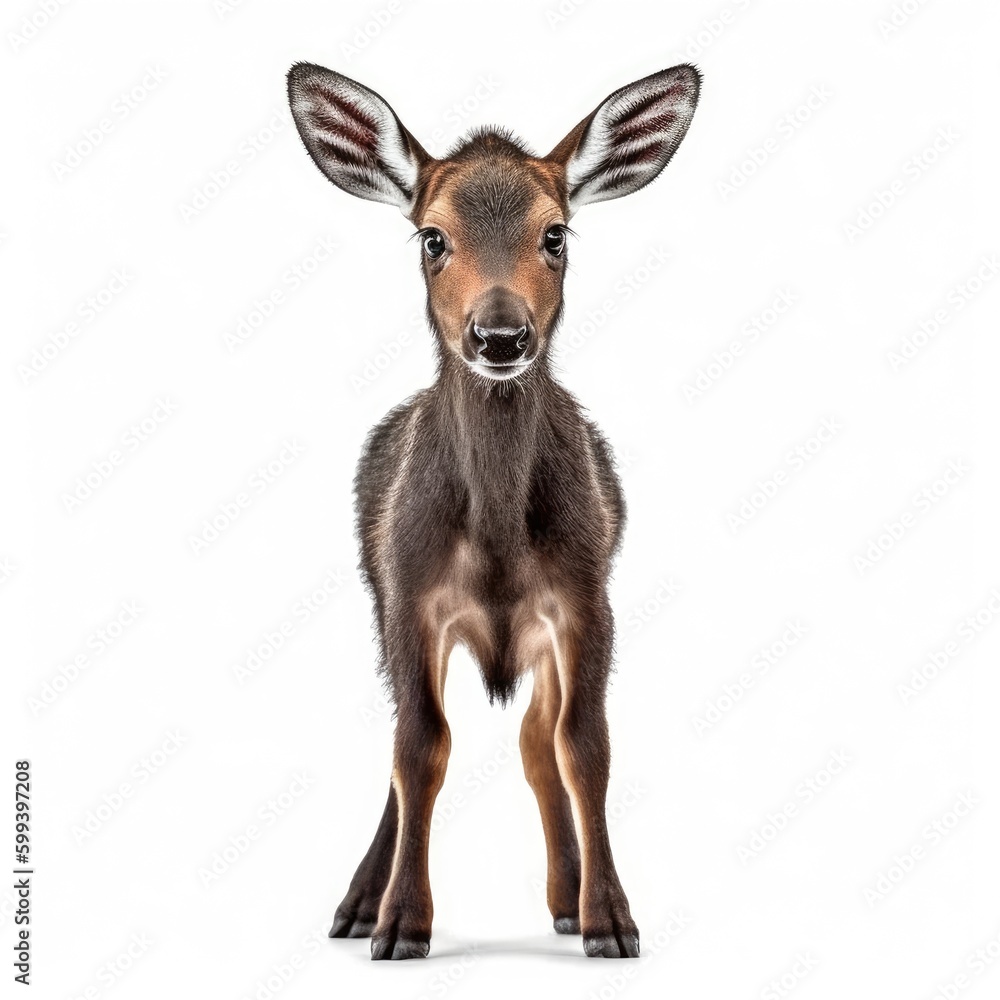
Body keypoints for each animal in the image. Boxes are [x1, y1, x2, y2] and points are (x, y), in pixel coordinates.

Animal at [287, 61, 700, 960]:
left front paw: (611, 919)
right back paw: (358, 903)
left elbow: (584, 747)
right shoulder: (410, 596)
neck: (501, 534)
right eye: (431, 238)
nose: (501, 336)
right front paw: (401, 924)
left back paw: (566, 896)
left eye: (557, 235)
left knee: (535, 740)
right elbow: (419, 746)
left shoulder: (585, 597)